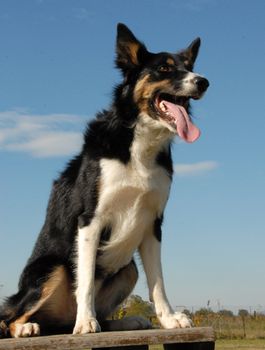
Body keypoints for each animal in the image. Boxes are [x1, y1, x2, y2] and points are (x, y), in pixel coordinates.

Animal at [0, 23, 208, 338]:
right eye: (164, 68)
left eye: (190, 67)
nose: (203, 82)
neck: (138, 143)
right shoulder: (90, 220)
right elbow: (85, 281)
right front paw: (86, 322)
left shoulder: (153, 223)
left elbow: (158, 282)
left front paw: (170, 319)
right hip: (53, 269)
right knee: (10, 318)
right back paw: (29, 327)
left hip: (128, 269)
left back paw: (127, 321)